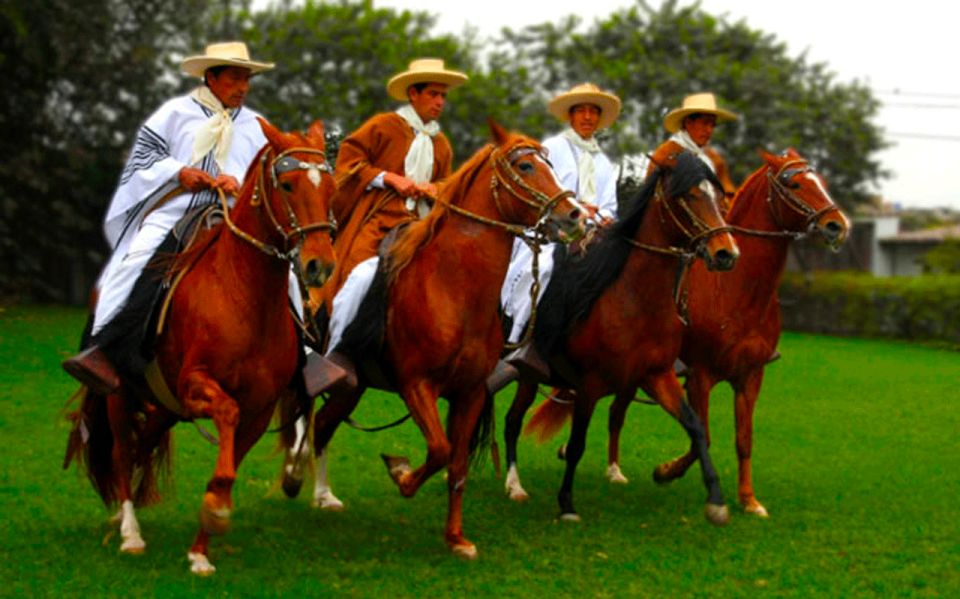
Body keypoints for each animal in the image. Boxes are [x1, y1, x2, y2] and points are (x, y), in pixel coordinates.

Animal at [62, 118, 340, 576]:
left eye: (330, 186)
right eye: (286, 184)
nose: (320, 266)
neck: (244, 295)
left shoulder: (259, 407)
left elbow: (228, 465)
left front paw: (201, 544)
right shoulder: (197, 384)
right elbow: (225, 416)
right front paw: (215, 512)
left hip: (163, 407)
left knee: (142, 446)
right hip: (120, 395)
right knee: (122, 450)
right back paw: (130, 531)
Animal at [282, 119, 588, 560]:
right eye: (527, 166)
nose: (574, 215)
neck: (454, 290)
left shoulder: (471, 391)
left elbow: (456, 464)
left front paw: (456, 537)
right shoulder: (417, 385)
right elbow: (440, 450)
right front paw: (401, 473)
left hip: (352, 385)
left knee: (323, 424)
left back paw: (323, 495)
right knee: (306, 418)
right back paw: (298, 477)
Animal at [498, 151, 740, 524]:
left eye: (719, 197)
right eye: (688, 196)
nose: (726, 253)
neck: (636, 299)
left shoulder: (657, 375)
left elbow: (695, 426)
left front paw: (714, 499)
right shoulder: (589, 384)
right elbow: (577, 444)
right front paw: (567, 504)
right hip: (525, 373)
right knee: (511, 422)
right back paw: (514, 486)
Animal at [604, 149, 852, 516]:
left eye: (819, 181)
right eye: (794, 183)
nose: (837, 224)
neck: (736, 290)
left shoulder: (751, 375)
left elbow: (744, 439)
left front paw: (749, 499)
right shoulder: (700, 375)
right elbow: (702, 437)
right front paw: (666, 471)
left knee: (614, 411)